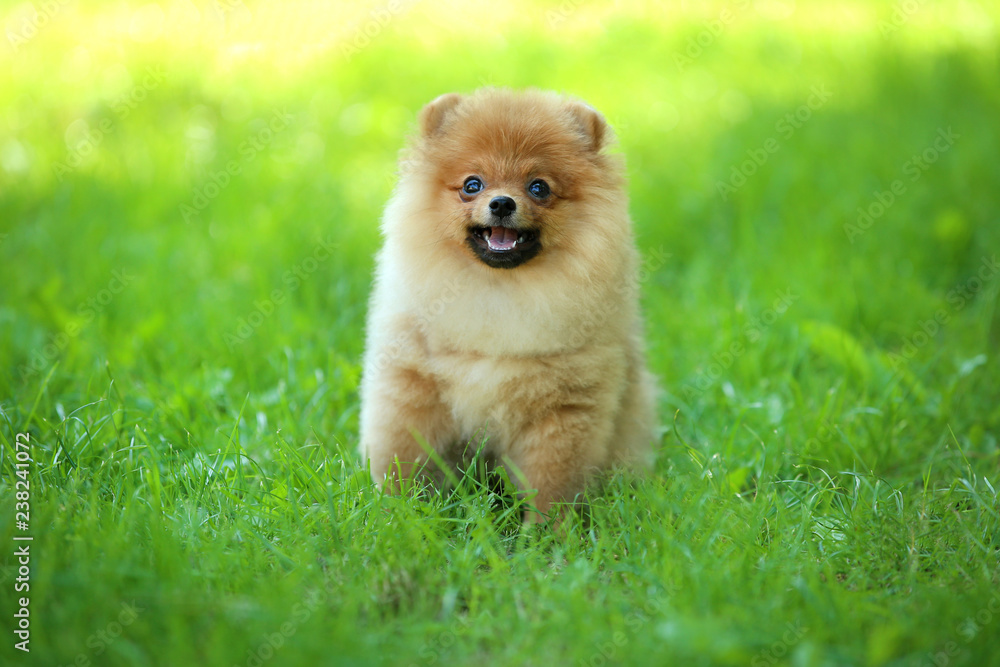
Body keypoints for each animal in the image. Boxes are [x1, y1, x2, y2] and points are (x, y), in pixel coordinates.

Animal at [358, 87, 656, 520]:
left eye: (538, 188)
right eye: (472, 184)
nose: (501, 203)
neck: (498, 292)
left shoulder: (565, 409)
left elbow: (551, 485)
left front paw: (547, 531)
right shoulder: (413, 385)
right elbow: (405, 457)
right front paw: (401, 515)